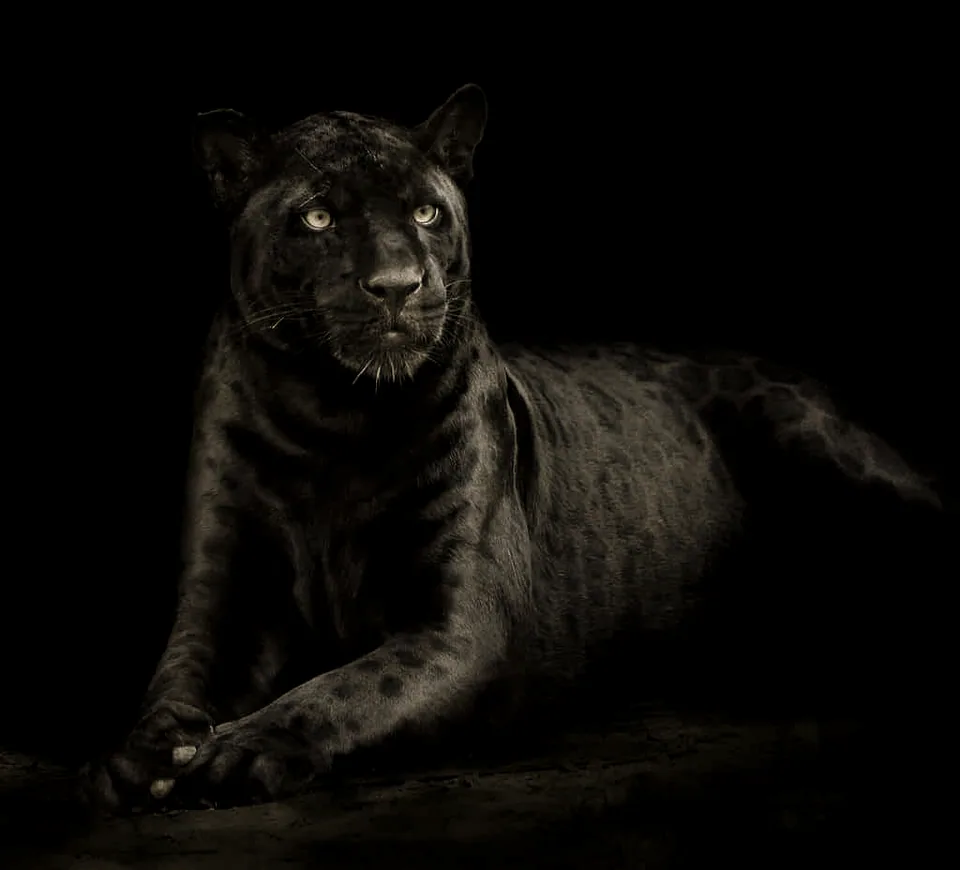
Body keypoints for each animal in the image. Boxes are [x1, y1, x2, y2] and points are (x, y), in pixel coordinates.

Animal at [82, 84, 945, 811]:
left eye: (428, 213)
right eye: (318, 219)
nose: (397, 285)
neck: (334, 416)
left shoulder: (459, 622)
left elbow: (347, 688)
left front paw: (239, 750)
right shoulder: (225, 594)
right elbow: (178, 674)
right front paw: (149, 753)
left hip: (832, 454)